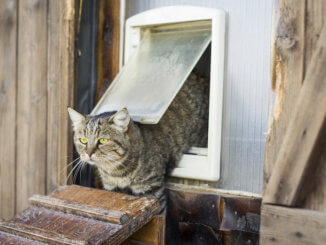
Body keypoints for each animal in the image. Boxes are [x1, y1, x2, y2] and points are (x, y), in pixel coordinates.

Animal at [69, 72, 209, 212]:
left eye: (103, 140)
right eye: (83, 140)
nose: (88, 153)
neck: (115, 171)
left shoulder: (151, 190)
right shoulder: (112, 188)